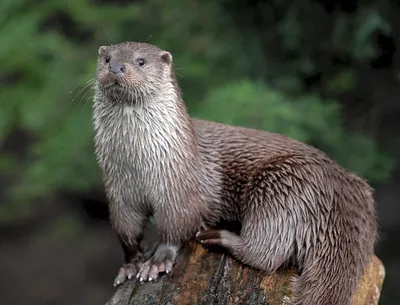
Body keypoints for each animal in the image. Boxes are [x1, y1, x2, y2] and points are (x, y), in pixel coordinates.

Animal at [93, 41, 378, 304]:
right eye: (107, 58)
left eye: (141, 61)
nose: (116, 67)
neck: (138, 166)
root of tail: (346, 195)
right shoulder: (118, 191)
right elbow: (126, 229)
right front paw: (131, 264)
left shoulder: (179, 190)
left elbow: (176, 226)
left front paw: (158, 260)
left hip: (283, 184)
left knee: (267, 253)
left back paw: (219, 237)